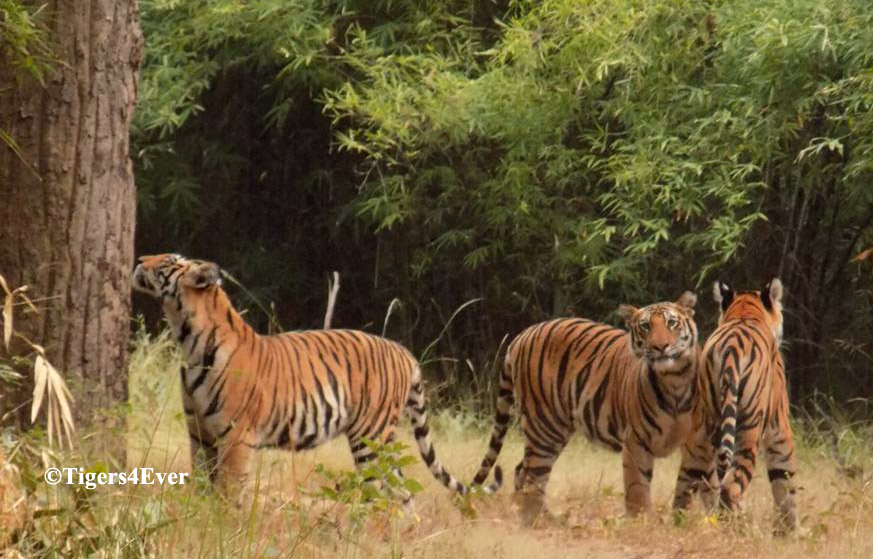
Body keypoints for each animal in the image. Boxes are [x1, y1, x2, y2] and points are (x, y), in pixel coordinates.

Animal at [132, 253, 501, 500]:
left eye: (166, 262)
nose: (139, 259)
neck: (188, 339)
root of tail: (405, 352)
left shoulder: (236, 437)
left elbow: (229, 491)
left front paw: (222, 527)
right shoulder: (199, 433)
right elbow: (201, 484)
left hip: (370, 436)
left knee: (379, 492)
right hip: (384, 441)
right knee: (402, 493)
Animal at [471, 292, 700, 523]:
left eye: (672, 323)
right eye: (645, 326)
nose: (660, 347)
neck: (674, 382)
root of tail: (523, 334)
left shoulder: (695, 442)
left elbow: (688, 483)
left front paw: (682, 518)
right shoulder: (636, 441)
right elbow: (638, 488)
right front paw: (642, 522)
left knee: (523, 469)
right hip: (546, 426)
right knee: (533, 473)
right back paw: (537, 518)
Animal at [672, 279, 797, 534]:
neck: (745, 311)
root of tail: (731, 349)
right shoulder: (779, 427)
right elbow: (785, 479)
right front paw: (790, 532)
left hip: (705, 428)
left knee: (687, 482)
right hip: (749, 429)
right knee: (731, 485)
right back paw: (738, 526)